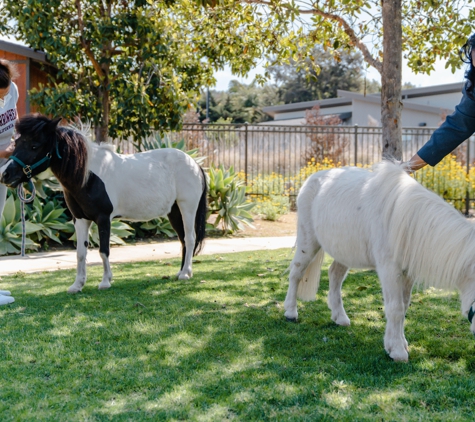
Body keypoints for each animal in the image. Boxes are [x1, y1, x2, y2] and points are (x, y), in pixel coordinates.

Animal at [0, 115, 207, 294]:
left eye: (34, 145)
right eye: (16, 143)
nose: (5, 175)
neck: (87, 176)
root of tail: (195, 164)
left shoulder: (103, 218)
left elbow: (103, 250)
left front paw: (106, 282)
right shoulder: (80, 219)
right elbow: (81, 253)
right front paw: (77, 285)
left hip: (187, 208)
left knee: (189, 238)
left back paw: (185, 275)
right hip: (174, 212)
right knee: (183, 240)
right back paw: (182, 272)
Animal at [286, 163, 475, 362]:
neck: (408, 223)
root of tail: (312, 178)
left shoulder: (407, 273)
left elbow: (403, 306)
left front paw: (398, 343)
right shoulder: (389, 269)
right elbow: (395, 308)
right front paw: (397, 351)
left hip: (344, 250)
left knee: (335, 275)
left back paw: (340, 317)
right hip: (308, 241)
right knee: (296, 273)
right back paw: (290, 312)